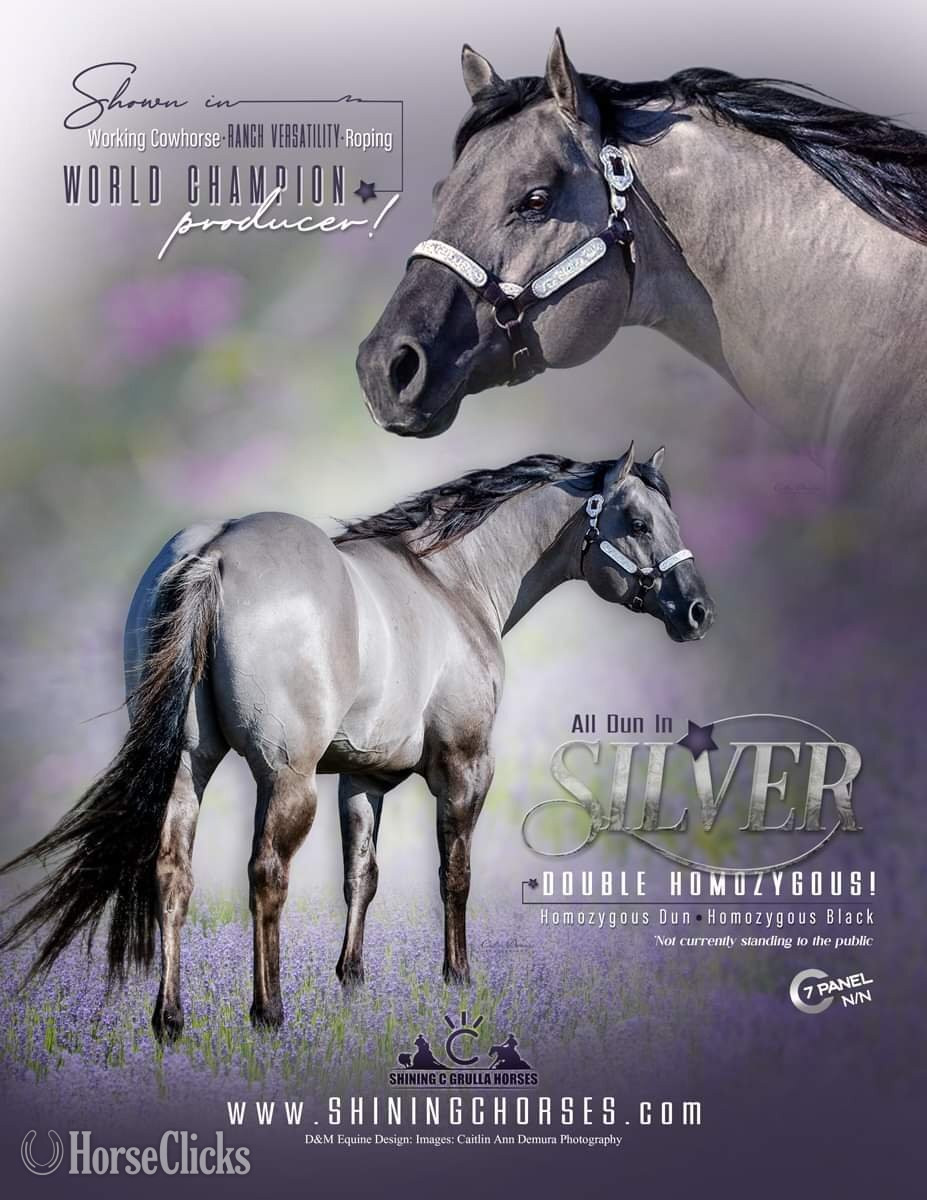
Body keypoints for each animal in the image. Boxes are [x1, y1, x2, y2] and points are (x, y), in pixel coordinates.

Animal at [0, 442, 713, 1041]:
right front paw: (458, 977)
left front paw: (351, 980)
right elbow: (454, 874)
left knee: (172, 873)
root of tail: (215, 552)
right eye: (639, 522)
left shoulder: (363, 778)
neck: (447, 583)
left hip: (186, 766)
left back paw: (170, 1019)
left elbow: (361, 876)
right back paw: (268, 1011)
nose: (698, 611)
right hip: (286, 780)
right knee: (267, 874)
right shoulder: (465, 768)